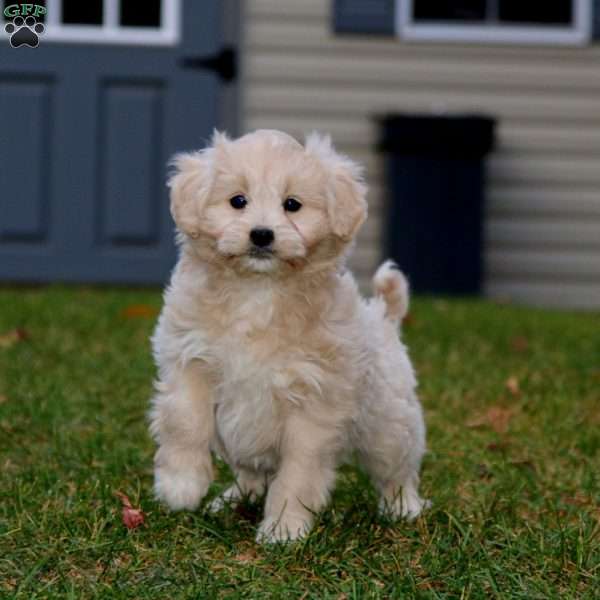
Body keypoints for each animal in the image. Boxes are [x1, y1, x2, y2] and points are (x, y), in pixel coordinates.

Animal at [152, 129, 428, 540]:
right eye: (238, 201)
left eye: (292, 205)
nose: (261, 235)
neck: (259, 290)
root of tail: (383, 318)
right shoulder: (190, 360)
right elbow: (184, 420)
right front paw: (180, 485)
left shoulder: (313, 404)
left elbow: (298, 473)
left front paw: (283, 528)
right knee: (251, 473)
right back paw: (230, 499)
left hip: (389, 425)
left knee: (397, 470)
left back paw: (403, 508)